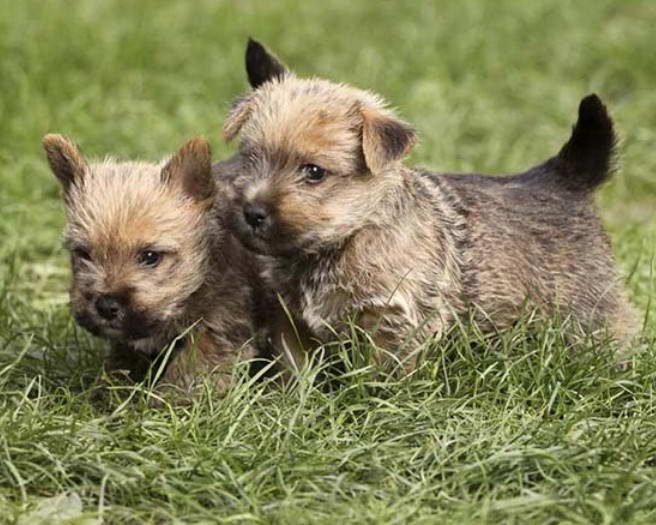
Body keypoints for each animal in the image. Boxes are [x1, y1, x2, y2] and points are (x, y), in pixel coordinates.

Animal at [42, 135, 258, 402]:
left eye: (150, 256)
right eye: (83, 254)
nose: (106, 306)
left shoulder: (217, 330)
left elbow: (189, 373)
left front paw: (164, 403)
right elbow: (123, 364)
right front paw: (107, 394)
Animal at [220, 40, 636, 372]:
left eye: (314, 172)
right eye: (250, 157)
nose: (252, 212)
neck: (342, 243)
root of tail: (564, 176)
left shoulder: (393, 322)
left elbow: (378, 378)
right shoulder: (290, 321)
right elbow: (295, 371)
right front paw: (295, 405)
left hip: (589, 312)